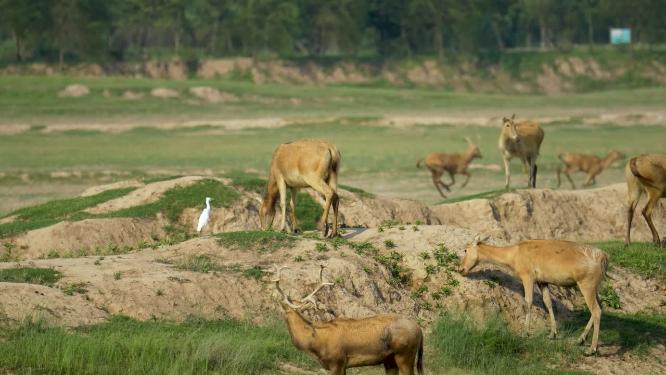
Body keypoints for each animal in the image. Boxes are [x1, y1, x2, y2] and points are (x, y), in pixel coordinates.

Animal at [272, 266, 426, 374]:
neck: (316, 343)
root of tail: (420, 330)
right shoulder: (341, 365)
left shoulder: (337, 362)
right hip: (390, 360)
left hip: (405, 354)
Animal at [456, 236, 608, 356]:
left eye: (465, 250)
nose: (460, 269)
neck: (513, 256)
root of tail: (603, 257)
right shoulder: (542, 281)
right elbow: (547, 302)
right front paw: (552, 334)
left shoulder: (527, 275)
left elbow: (528, 301)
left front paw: (525, 333)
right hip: (594, 286)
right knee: (600, 306)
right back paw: (580, 339)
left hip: (586, 283)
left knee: (596, 310)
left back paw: (591, 349)